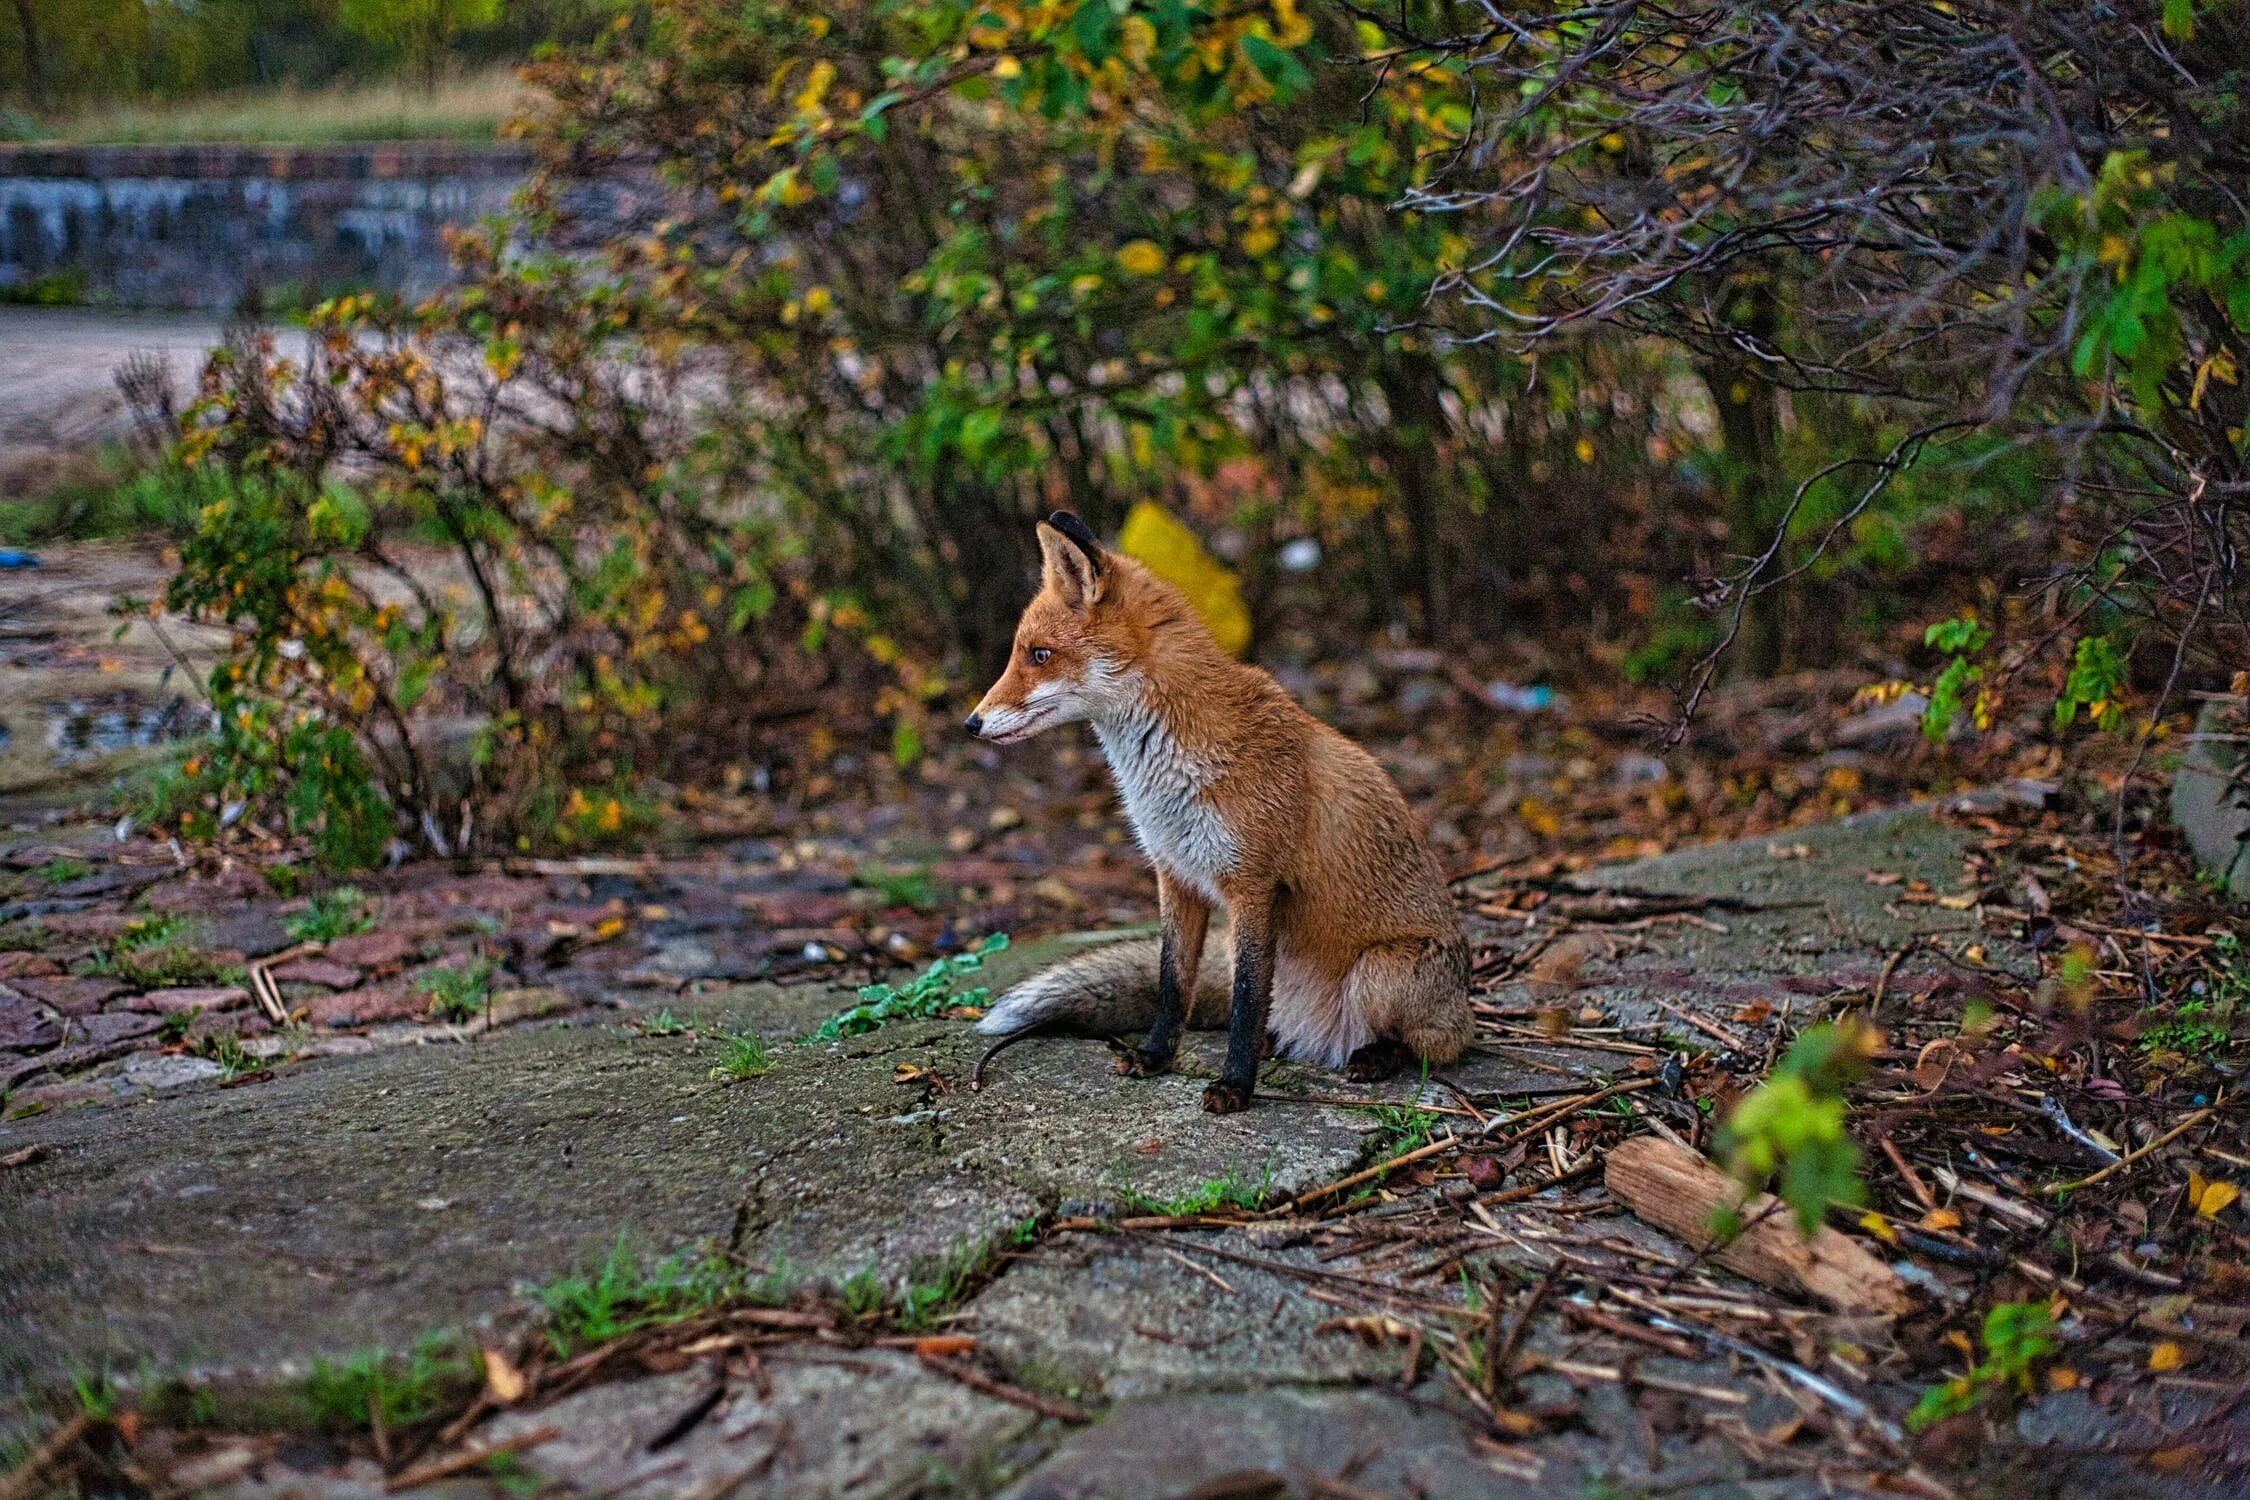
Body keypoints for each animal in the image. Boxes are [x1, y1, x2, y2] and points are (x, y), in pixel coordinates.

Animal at [967, 517, 1476, 1115]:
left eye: (1039, 655)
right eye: (1023, 653)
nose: (971, 724)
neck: (1167, 775)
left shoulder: (1253, 885)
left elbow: (1246, 1000)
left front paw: (1235, 1085)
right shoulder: (1175, 875)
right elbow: (1173, 982)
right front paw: (1156, 1057)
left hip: (1380, 974)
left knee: (1430, 1046)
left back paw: (1374, 1057)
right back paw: (1283, 1045)